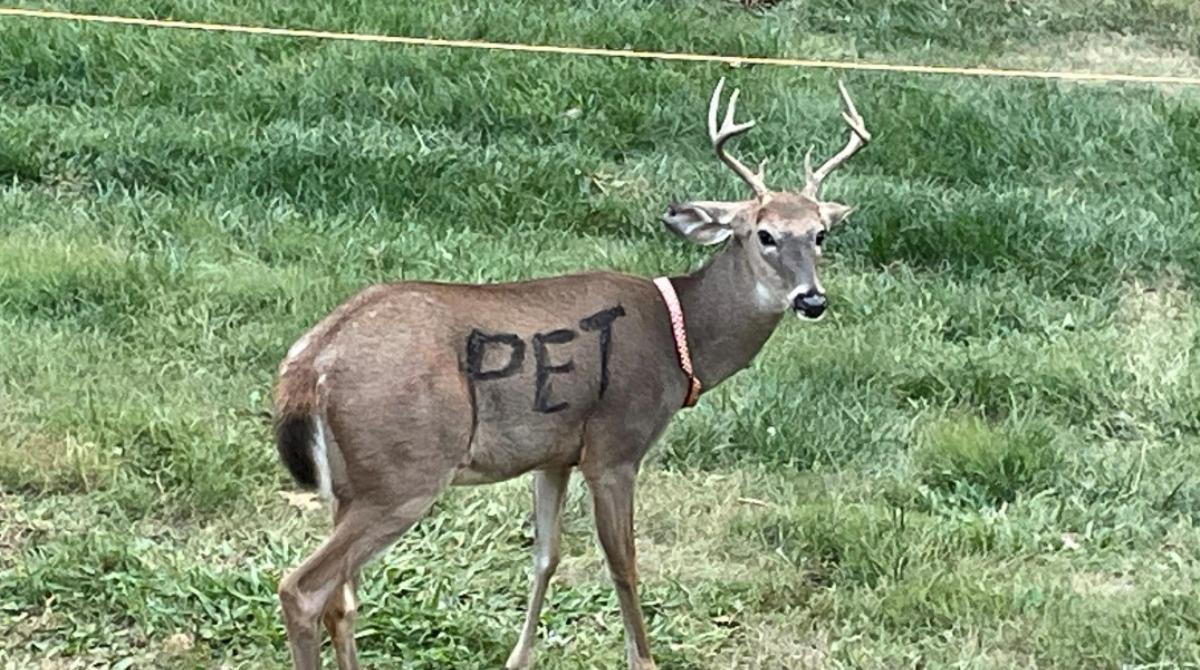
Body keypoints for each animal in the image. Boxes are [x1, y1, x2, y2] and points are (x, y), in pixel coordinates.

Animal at [271, 77, 871, 670]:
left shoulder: (554, 453)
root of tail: (310, 361)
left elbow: (547, 556)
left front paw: (517, 659)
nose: (812, 299)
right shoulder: (614, 445)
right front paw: (642, 660)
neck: (680, 339)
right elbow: (624, 563)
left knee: (341, 599)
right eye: (764, 234)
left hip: (349, 484)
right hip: (404, 469)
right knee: (304, 588)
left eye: (820, 234)